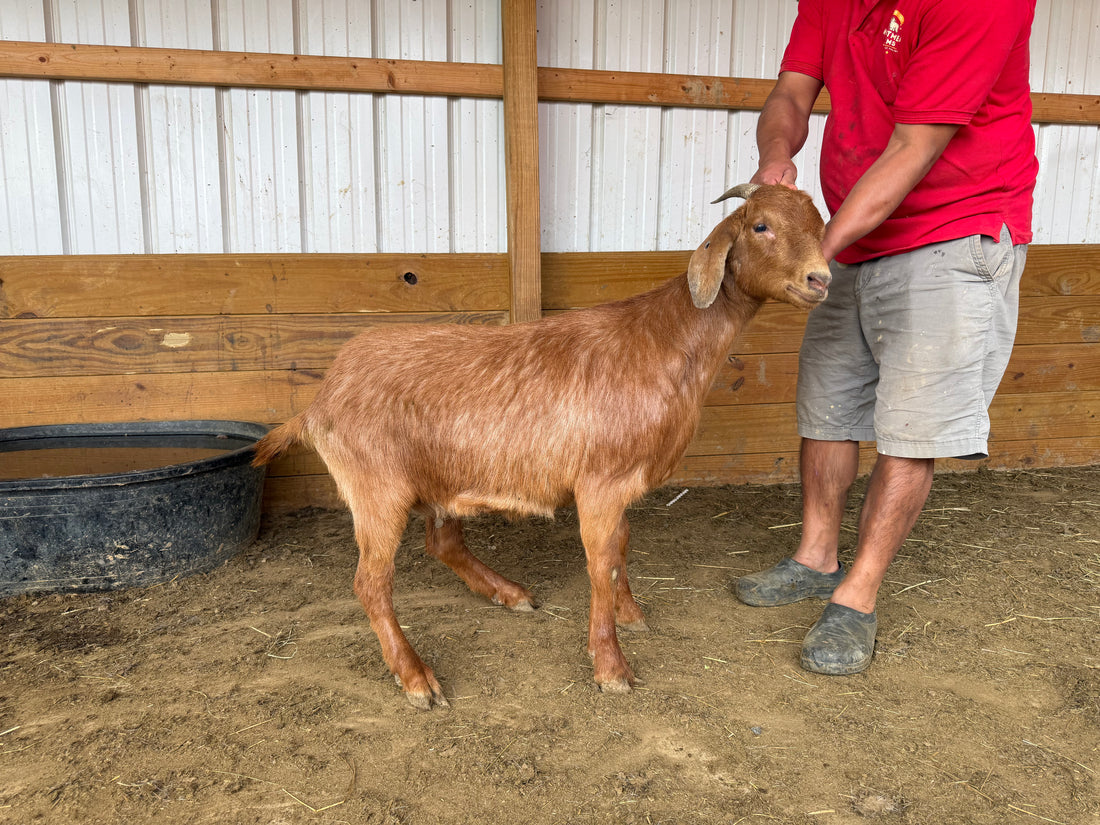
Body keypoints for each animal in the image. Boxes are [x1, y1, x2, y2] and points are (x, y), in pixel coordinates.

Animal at [252, 183, 830, 709]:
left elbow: (622, 547)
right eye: (760, 226)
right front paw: (611, 667)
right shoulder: (600, 483)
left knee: (441, 544)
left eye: (821, 225)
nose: (820, 279)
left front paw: (630, 616)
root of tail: (320, 400)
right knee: (370, 584)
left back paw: (508, 593)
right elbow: (602, 564)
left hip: (437, 480)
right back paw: (416, 679)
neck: (663, 340)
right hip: (378, 489)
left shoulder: (619, 482)